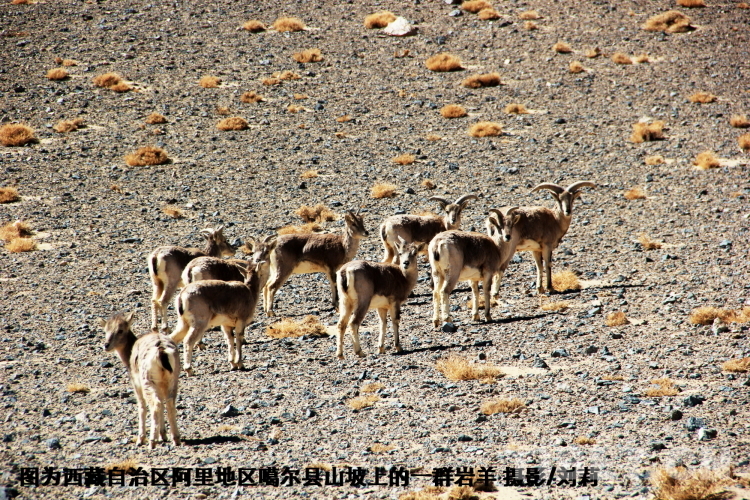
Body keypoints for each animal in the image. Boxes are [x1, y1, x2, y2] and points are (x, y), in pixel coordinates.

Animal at [100, 312, 181, 449]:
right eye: (106, 330)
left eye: (120, 330)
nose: (106, 345)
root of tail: (162, 351)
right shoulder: (161, 385)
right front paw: (163, 435)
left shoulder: (136, 384)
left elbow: (141, 407)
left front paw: (140, 439)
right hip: (172, 381)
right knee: (169, 403)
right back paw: (175, 439)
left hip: (147, 382)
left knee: (155, 404)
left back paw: (152, 442)